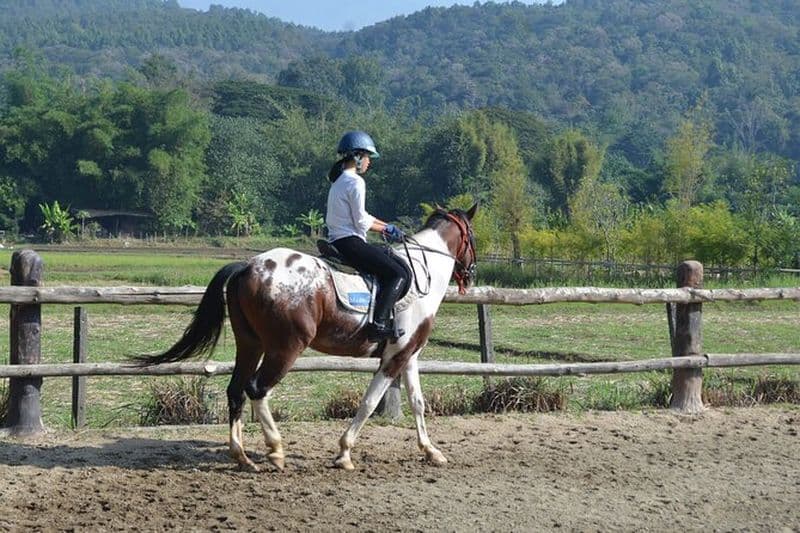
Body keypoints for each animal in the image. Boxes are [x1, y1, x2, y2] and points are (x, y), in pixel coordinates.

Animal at [136, 204, 477, 471]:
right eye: (471, 237)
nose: (470, 274)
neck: (422, 274)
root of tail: (248, 266)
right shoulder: (396, 356)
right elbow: (369, 403)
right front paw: (344, 453)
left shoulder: (408, 354)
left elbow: (418, 402)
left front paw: (431, 451)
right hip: (285, 348)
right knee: (256, 388)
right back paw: (275, 450)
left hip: (250, 344)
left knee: (236, 390)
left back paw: (242, 456)